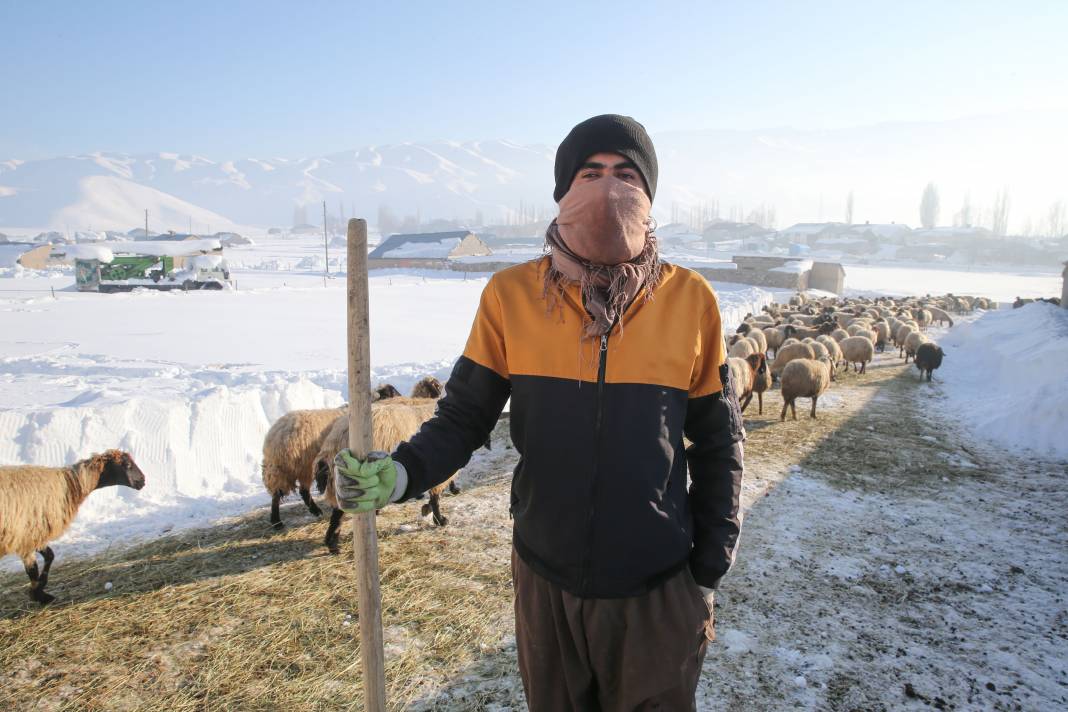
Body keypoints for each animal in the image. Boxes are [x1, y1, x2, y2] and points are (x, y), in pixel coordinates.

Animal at [0, 448, 146, 606]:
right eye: (127, 465)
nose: (143, 480)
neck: (70, 485)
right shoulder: (29, 534)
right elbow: (33, 569)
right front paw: (38, 593)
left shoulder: (34, 535)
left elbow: (50, 556)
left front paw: (39, 592)